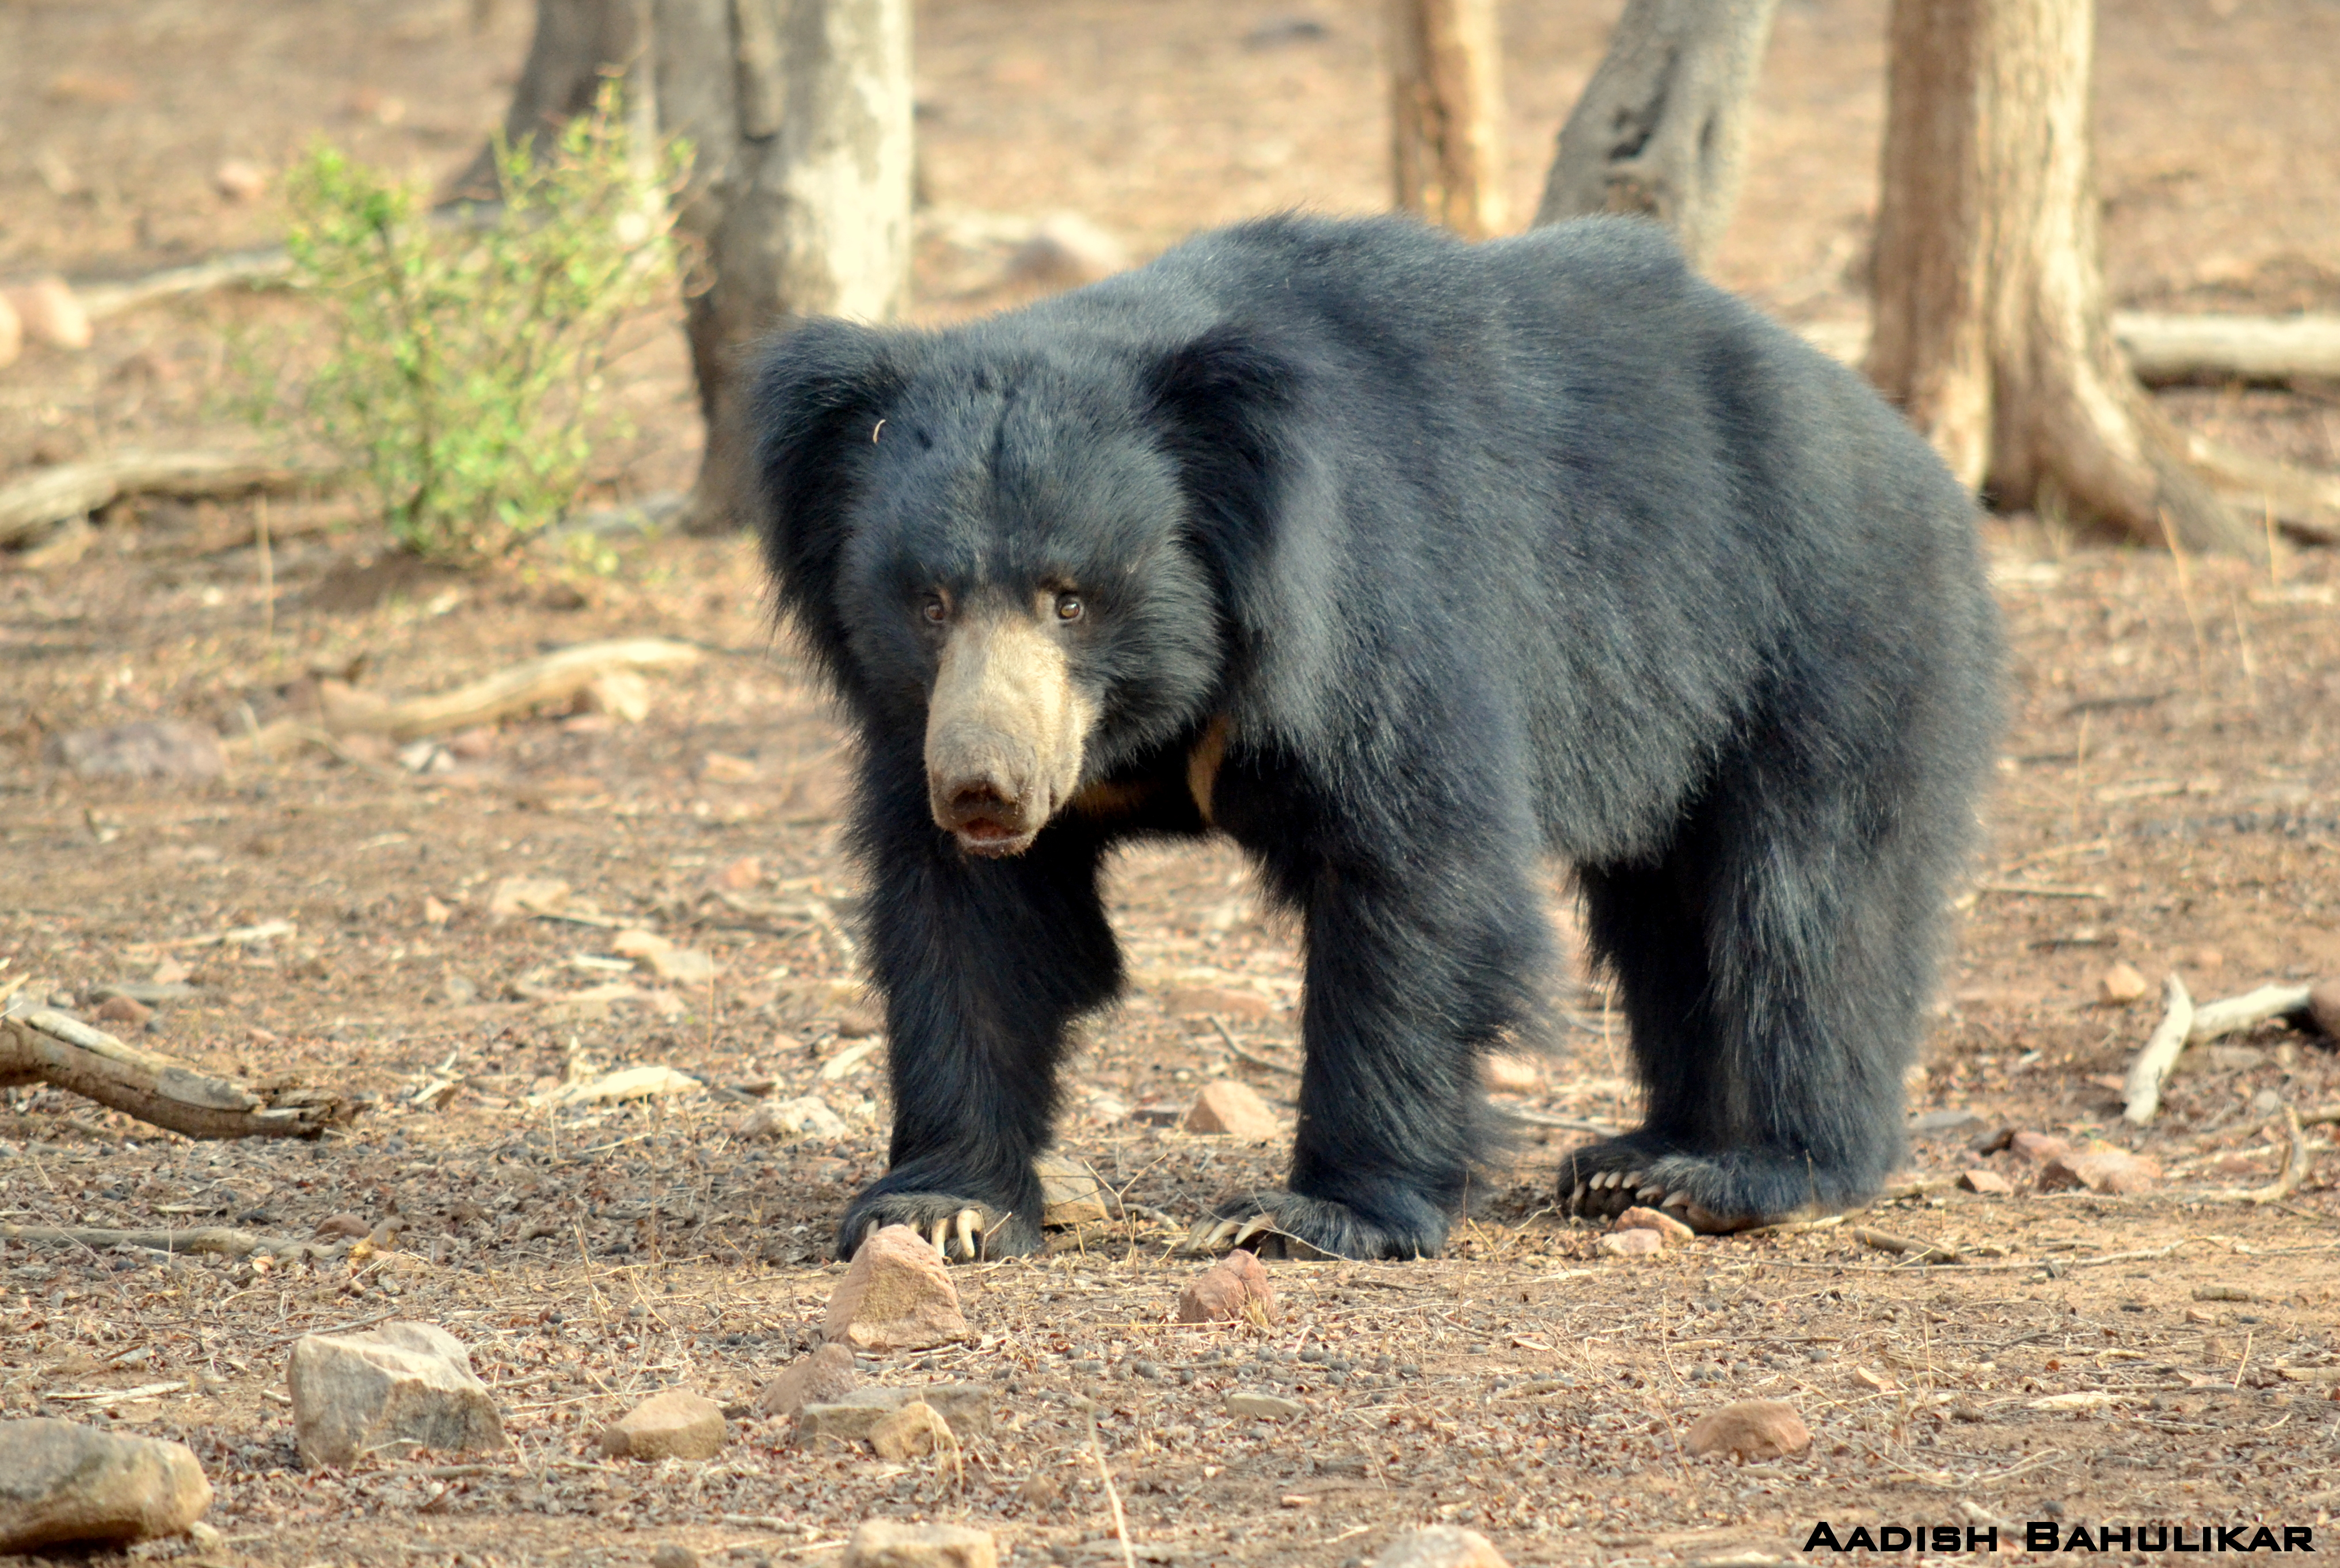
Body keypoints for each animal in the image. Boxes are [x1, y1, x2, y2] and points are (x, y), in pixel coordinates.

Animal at [758, 211, 2003, 1263]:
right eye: (929, 602)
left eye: (1071, 599)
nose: (987, 789)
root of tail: (1912, 451)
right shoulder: (921, 719)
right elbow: (972, 922)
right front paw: (942, 1204)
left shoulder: (1375, 608)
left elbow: (1415, 874)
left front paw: (1311, 1214)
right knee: (1670, 912)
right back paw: (1638, 1161)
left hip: (1826, 636)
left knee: (1807, 904)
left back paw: (1750, 1172)